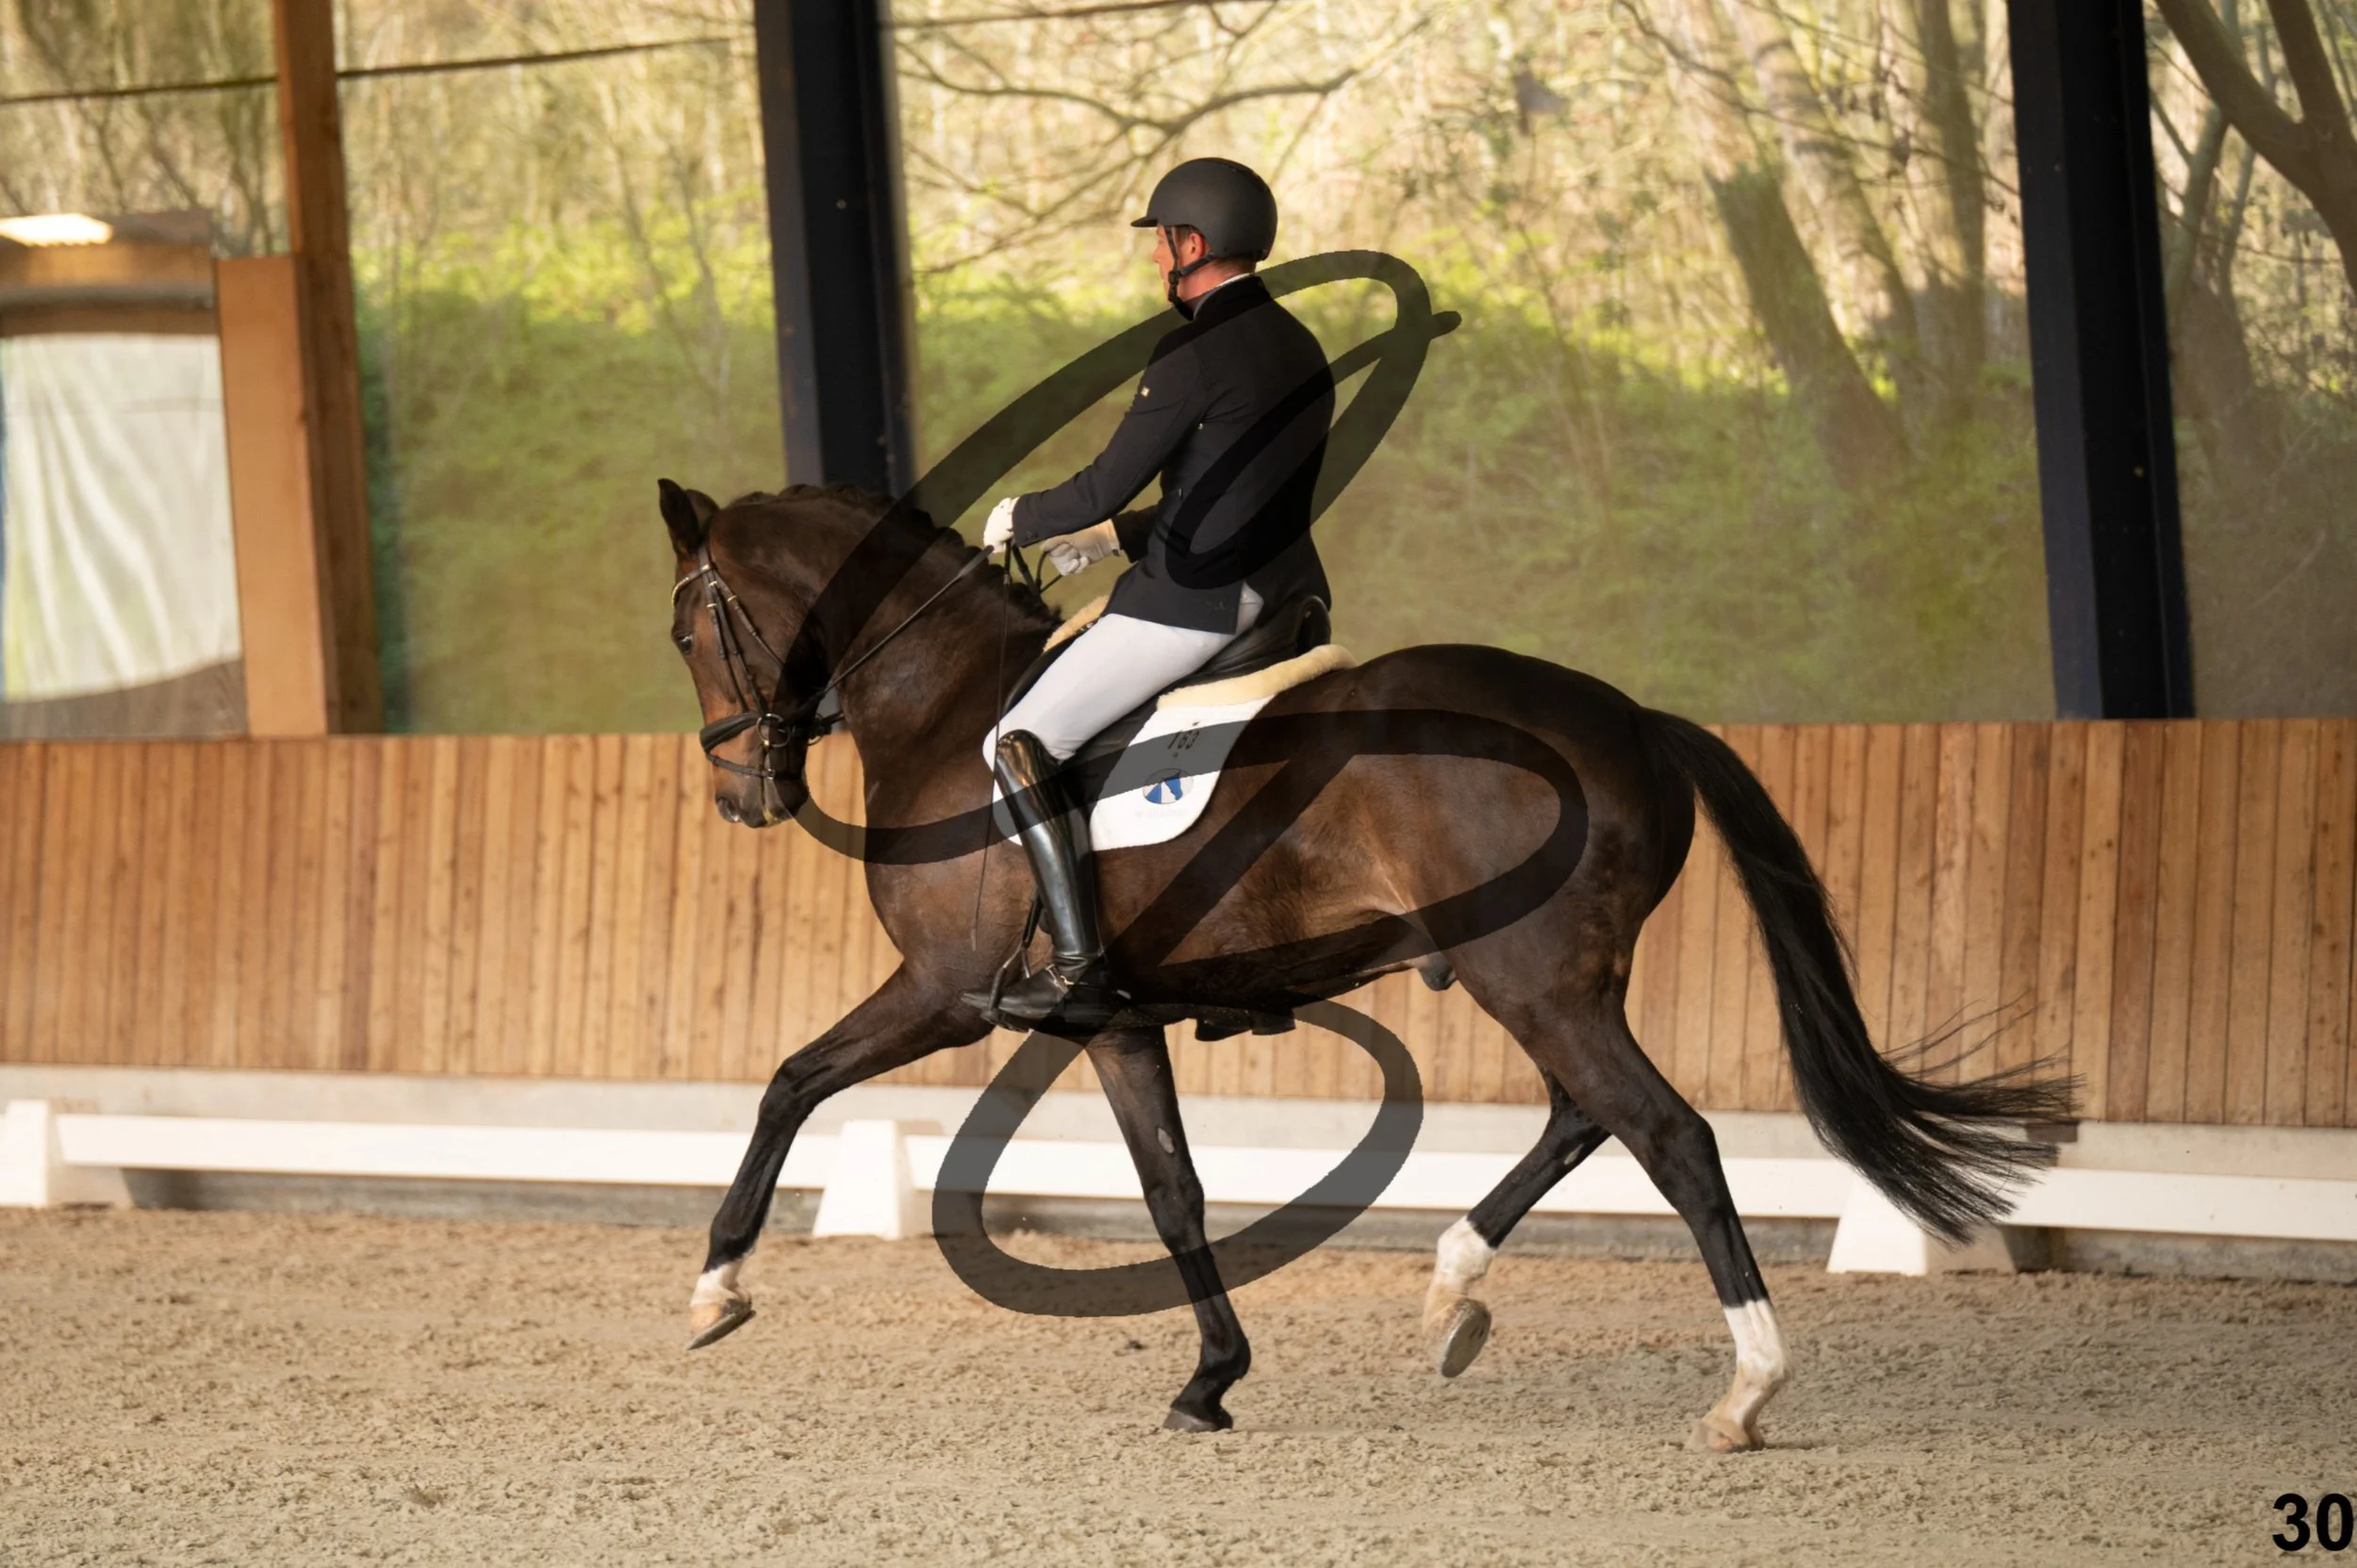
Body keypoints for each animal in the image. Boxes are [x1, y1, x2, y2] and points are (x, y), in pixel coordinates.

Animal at [659, 478, 2068, 1447]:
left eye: (684, 631)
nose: (740, 795)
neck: (953, 705)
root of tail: (1631, 718)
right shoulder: (1110, 1019)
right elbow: (1173, 1193)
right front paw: (1210, 1381)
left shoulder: (946, 993)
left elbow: (791, 1079)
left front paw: (716, 1287)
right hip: (1550, 979)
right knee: (1584, 1118)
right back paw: (1451, 1296)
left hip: (1528, 975)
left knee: (1667, 1133)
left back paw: (1744, 1392)